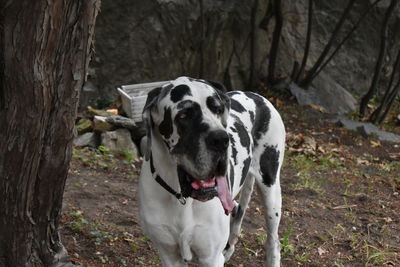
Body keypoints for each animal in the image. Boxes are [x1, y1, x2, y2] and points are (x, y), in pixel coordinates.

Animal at [138, 76, 284, 266]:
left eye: (218, 110)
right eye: (184, 115)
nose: (222, 140)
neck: (181, 198)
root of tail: (258, 96)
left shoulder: (211, 258)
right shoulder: (169, 256)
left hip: (271, 192)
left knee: (273, 241)